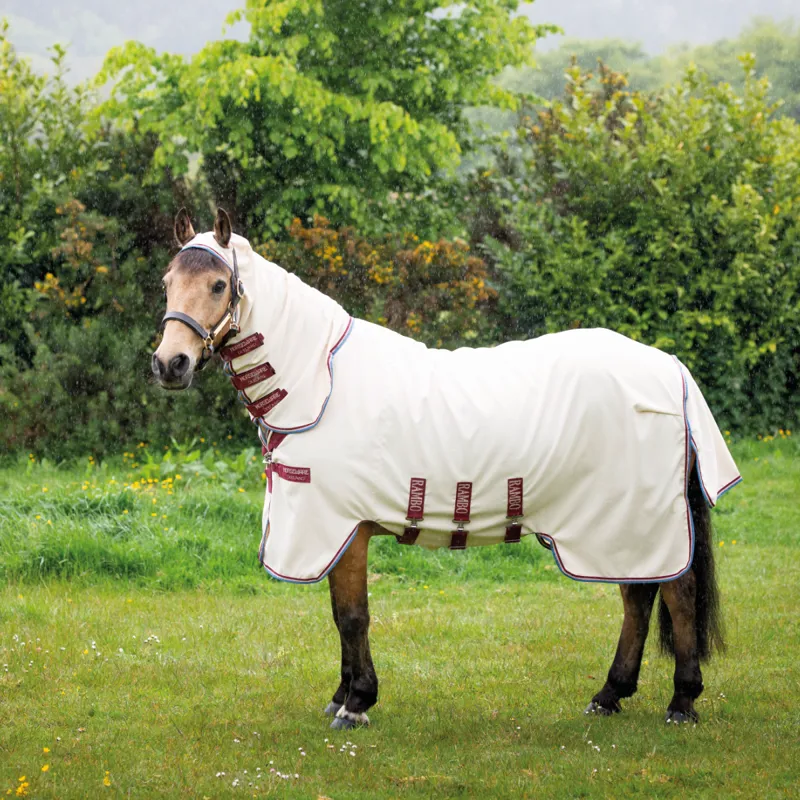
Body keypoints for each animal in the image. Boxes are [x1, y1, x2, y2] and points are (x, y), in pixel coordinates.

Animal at [152, 208, 741, 731]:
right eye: (167, 283)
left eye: (219, 285)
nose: (169, 364)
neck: (321, 383)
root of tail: (670, 368)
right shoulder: (335, 532)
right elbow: (340, 616)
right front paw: (342, 694)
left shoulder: (345, 527)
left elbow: (353, 615)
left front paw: (356, 703)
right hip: (616, 523)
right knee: (639, 596)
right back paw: (610, 694)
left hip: (639, 517)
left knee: (677, 592)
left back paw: (682, 701)